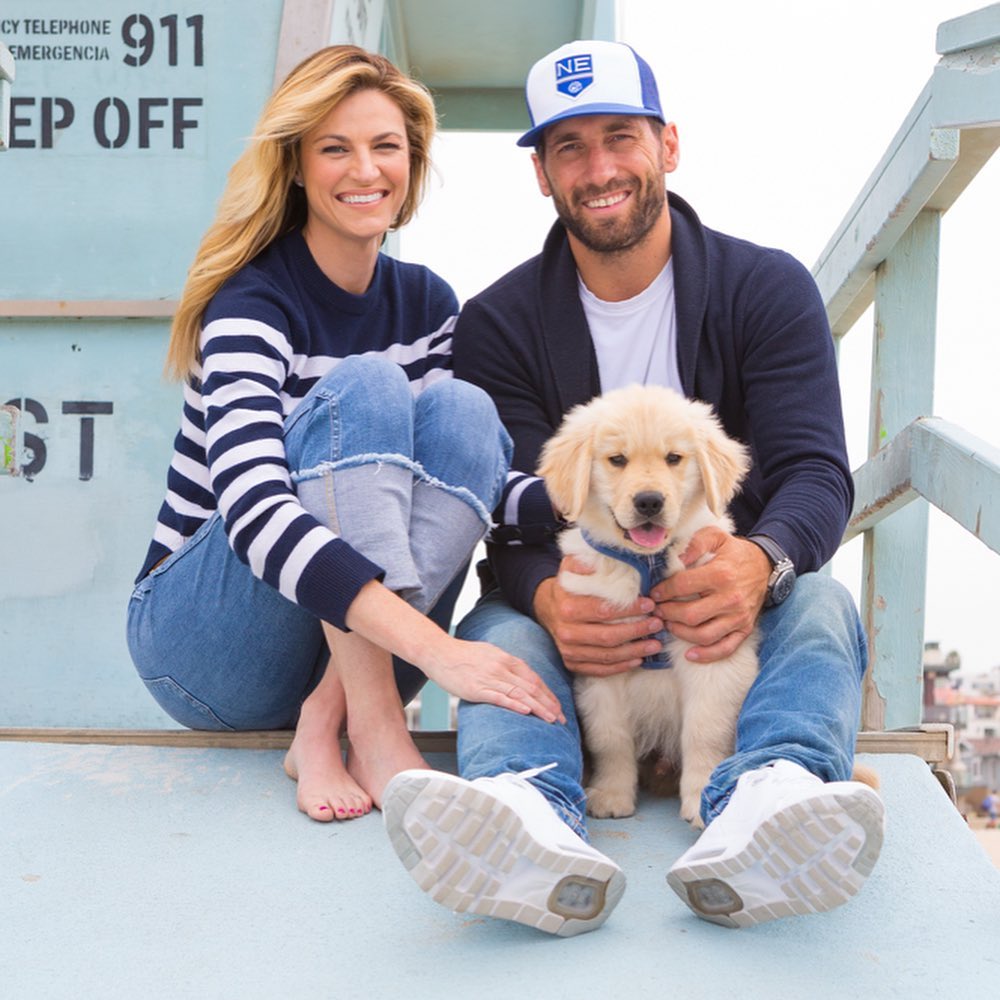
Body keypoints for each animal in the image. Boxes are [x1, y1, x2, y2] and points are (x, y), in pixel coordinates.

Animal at [540, 382, 756, 828]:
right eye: (617, 460)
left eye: (673, 458)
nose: (649, 502)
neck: (648, 564)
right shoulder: (602, 662)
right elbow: (609, 738)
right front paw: (611, 793)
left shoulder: (713, 656)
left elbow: (704, 731)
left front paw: (700, 797)